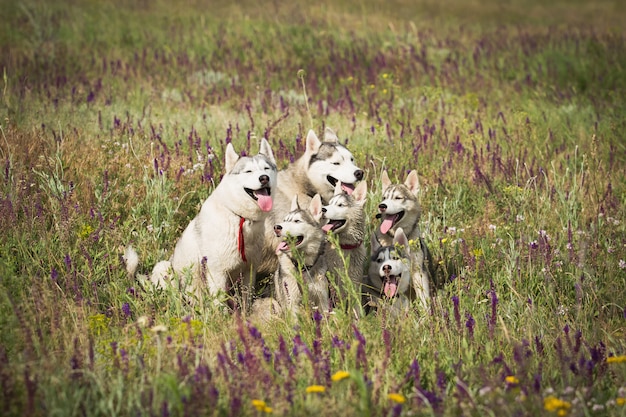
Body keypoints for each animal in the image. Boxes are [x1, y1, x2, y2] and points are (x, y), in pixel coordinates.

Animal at [124, 138, 276, 304]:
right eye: (248, 171)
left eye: (266, 168)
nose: (264, 178)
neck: (240, 217)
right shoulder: (217, 272)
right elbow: (219, 301)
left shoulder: (249, 269)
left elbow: (246, 299)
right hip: (164, 268)